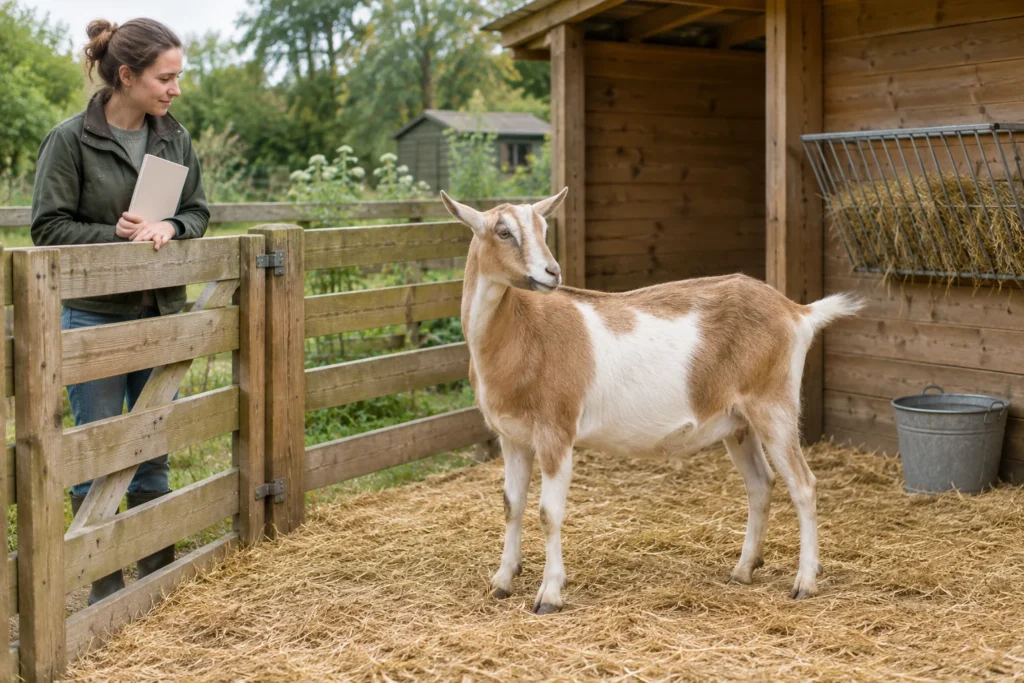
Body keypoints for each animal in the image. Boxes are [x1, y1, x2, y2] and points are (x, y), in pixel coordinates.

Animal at [440, 188, 864, 614]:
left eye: (543, 228)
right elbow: (511, 505)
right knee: (761, 484)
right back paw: (743, 569)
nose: (552, 273)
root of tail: (798, 313)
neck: (519, 332)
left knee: (804, 485)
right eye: (503, 231)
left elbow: (549, 513)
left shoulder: (555, 430)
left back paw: (805, 581)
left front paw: (550, 594)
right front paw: (502, 581)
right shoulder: (512, 437)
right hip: (738, 421)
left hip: (774, 405)